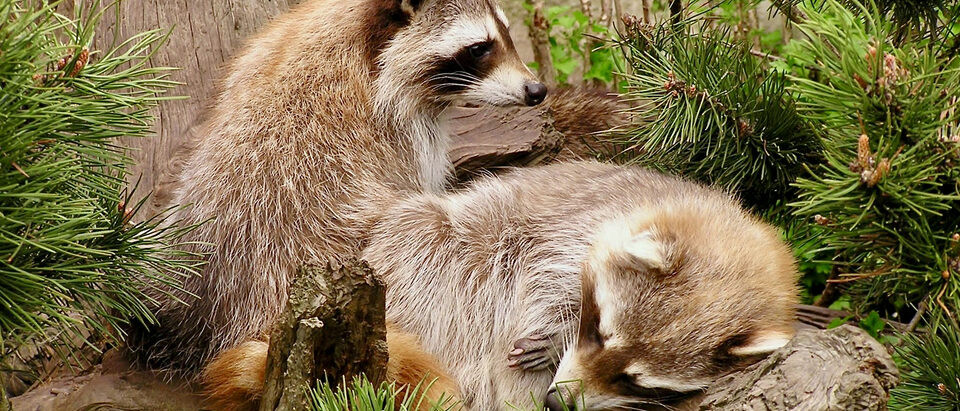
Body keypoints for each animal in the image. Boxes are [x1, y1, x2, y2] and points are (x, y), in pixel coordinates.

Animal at [127, 0, 545, 378]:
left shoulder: (268, 47)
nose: (537, 90)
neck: (359, 37)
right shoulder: (400, 133)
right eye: (478, 48)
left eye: (507, 34)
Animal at [362, 161, 799, 410]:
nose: (557, 404)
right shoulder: (575, 225)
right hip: (428, 257)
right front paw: (558, 333)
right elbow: (545, 278)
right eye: (598, 332)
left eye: (633, 381)